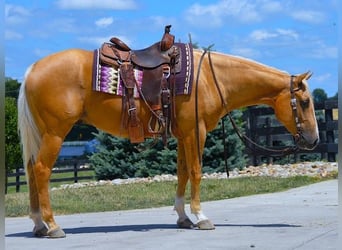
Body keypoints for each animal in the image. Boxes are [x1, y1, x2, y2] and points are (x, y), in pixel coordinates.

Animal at [18, 47, 318, 237]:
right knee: (42, 170)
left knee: (31, 169)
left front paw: (183, 218)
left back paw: (39, 225)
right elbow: (196, 172)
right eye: (304, 102)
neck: (210, 78)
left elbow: (183, 172)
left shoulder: (184, 134)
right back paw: (53, 226)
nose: (314, 140)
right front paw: (202, 217)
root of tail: (32, 69)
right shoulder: (196, 131)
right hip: (55, 133)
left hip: (43, 134)